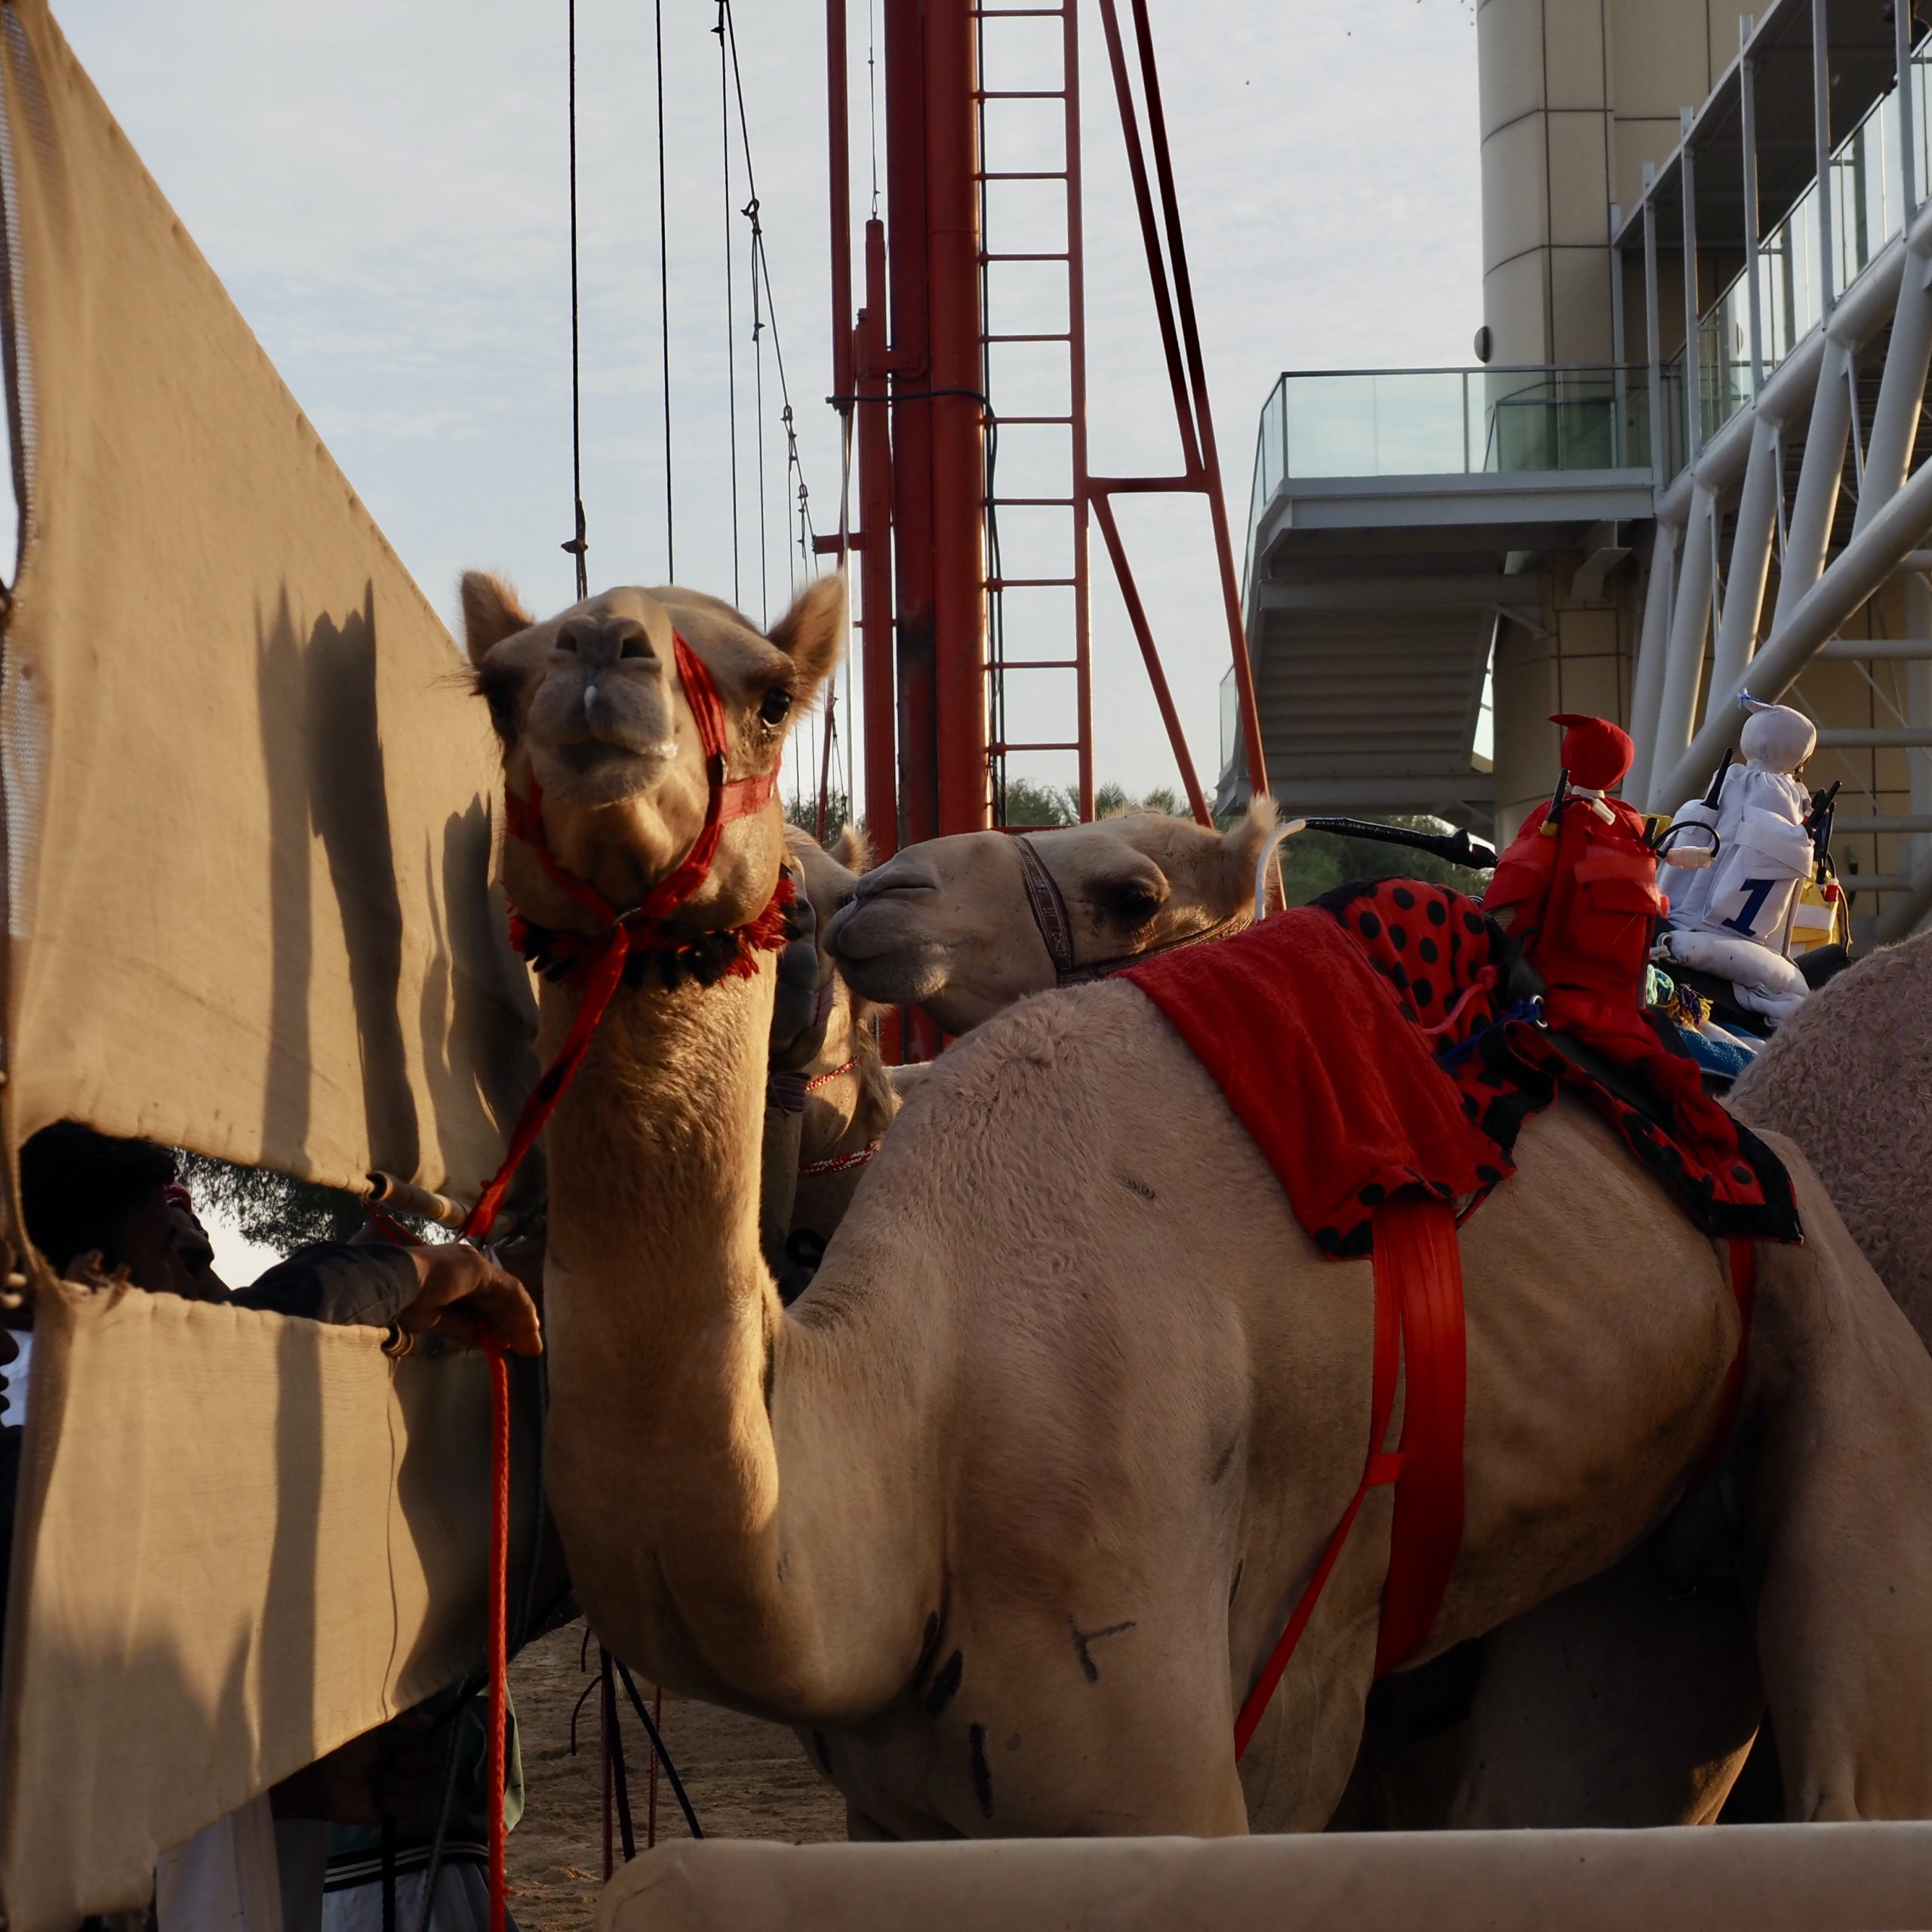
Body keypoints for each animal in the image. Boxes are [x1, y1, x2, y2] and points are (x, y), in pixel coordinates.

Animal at [460, 564, 1932, 1831]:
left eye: (772, 690)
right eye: (496, 685)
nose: (875, 896)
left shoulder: (1179, 1751)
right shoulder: (906, 1811)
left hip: (1847, 1384)